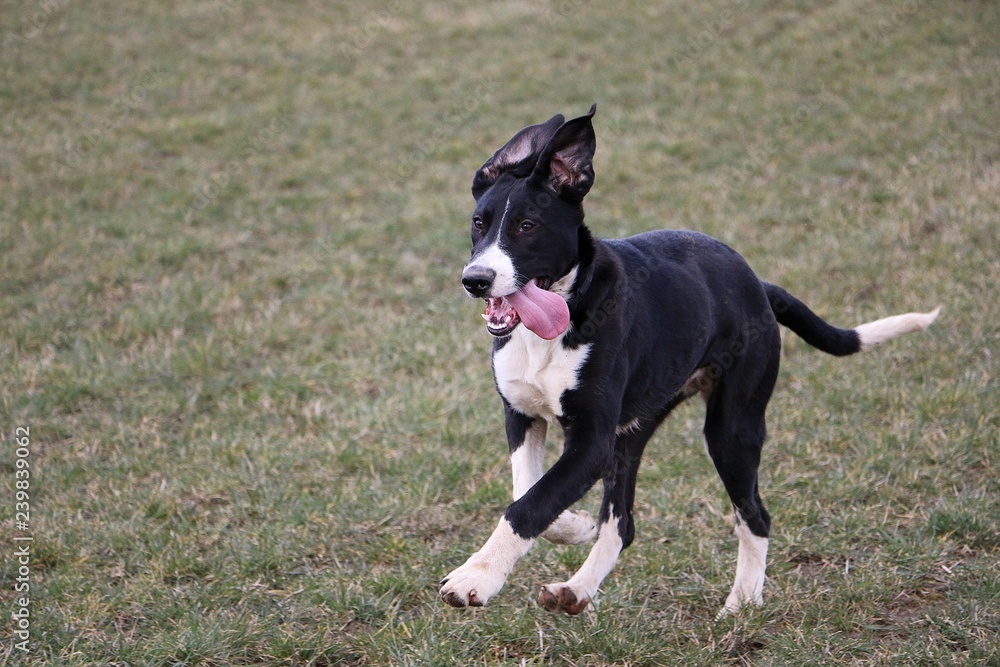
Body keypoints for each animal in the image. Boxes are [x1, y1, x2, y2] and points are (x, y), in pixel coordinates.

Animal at [442, 107, 940, 620]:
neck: (561, 316)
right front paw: (574, 525)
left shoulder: (591, 441)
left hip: (731, 428)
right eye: (479, 223)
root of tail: (758, 284)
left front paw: (476, 577)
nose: (475, 280)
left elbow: (528, 505)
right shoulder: (523, 415)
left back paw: (741, 605)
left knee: (755, 516)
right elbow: (531, 491)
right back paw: (577, 589)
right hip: (634, 431)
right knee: (622, 524)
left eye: (527, 226)